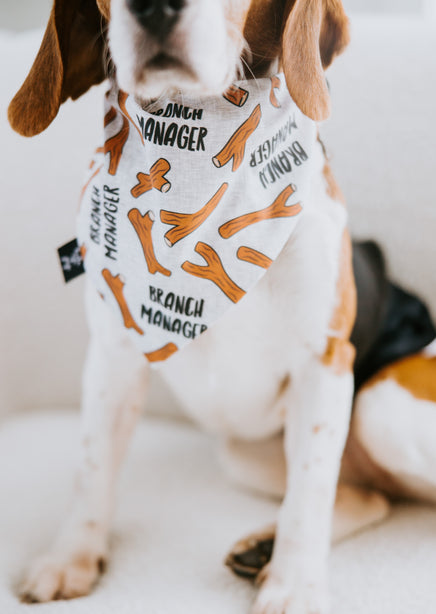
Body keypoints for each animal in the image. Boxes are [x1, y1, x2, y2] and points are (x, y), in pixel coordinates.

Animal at [7, 1, 436, 614]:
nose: (154, 6)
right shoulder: (114, 355)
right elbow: (92, 466)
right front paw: (71, 557)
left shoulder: (324, 363)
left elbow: (310, 492)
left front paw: (295, 586)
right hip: (242, 451)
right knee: (372, 496)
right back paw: (263, 546)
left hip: (381, 404)